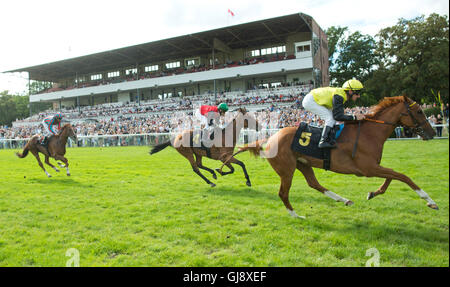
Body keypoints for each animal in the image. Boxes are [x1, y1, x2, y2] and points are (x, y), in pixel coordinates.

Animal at [234, 95, 438, 219]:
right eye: (419, 111)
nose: (432, 132)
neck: (370, 132)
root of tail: (269, 138)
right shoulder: (368, 168)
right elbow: (403, 176)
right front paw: (430, 201)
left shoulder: (374, 167)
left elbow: (393, 176)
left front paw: (373, 193)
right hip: (287, 170)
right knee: (283, 193)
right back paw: (296, 215)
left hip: (303, 164)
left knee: (314, 184)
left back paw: (343, 199)